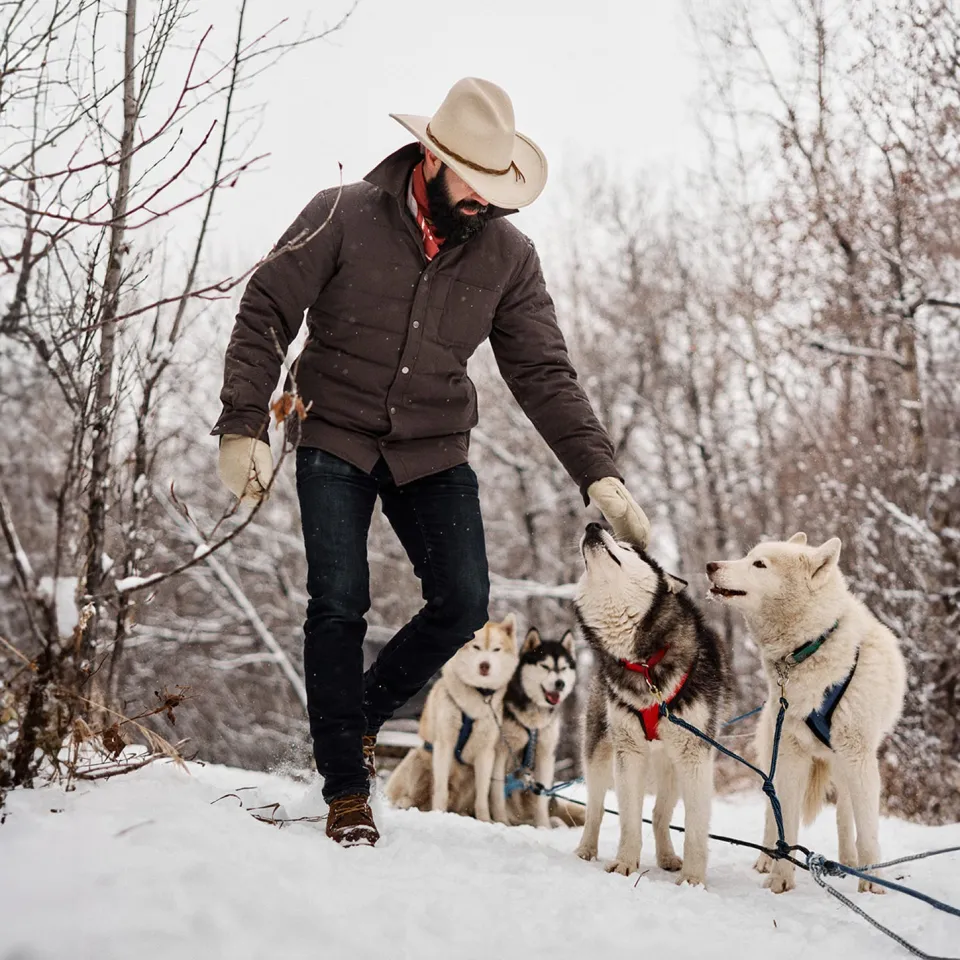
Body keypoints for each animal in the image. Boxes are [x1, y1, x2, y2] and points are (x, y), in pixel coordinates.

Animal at [384, 616, 520, 816]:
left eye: (496, 649)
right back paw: (406, 803)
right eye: (476, 647)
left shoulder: (486, 753)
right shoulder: (444, 745)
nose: (485, 665)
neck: (474, 701)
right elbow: (441, 790)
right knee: (416, 796)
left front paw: (485, 819)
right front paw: (439, 814)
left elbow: (482, 797)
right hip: (417, 759)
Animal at [572, 524, 732, 884]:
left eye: (629, 549)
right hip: (599, 752)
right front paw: (625, 863)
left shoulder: (694, 755)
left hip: (670, 764)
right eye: (584, 564)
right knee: (595, 807)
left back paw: (668, 857)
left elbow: (695, 828)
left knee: (660, 814)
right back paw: (586, 849)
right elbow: (629, 819)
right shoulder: (628, 754)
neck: (644, 664)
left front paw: (692, 880)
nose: (592, 526)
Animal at [704, 532, 908, 892]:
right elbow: (786, 823)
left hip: (843, 765)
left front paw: (871, 882)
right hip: (775, 756)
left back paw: (849, 862)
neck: (810, 647)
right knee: (772, 812)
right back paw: (766, 858)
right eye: (748, 557)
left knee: (844, 815)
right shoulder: (790, 756)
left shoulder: (859, 758)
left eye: (759, 564)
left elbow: (867, 828)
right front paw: (780, 879)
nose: (710, 565)